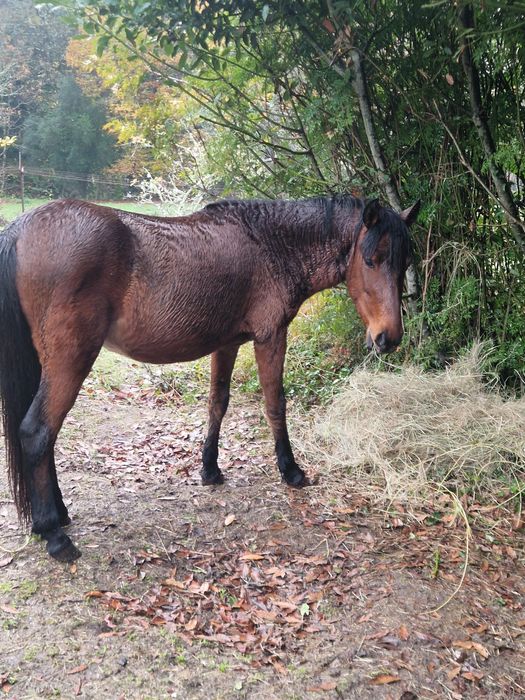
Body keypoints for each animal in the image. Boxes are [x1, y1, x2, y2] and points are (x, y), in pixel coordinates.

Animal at [0, 195, 419, 563]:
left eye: (403, 264)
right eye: (371, 259)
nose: (389, 338)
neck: (269, 243)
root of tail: (20, 228)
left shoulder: (227, 344)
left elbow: (218, 403)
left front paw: (210, 469)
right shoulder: (271, 336)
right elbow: (275, 403)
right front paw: (291, 470)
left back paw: (57, 516)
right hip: (70, 360)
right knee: (38, 432)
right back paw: (54, 533)